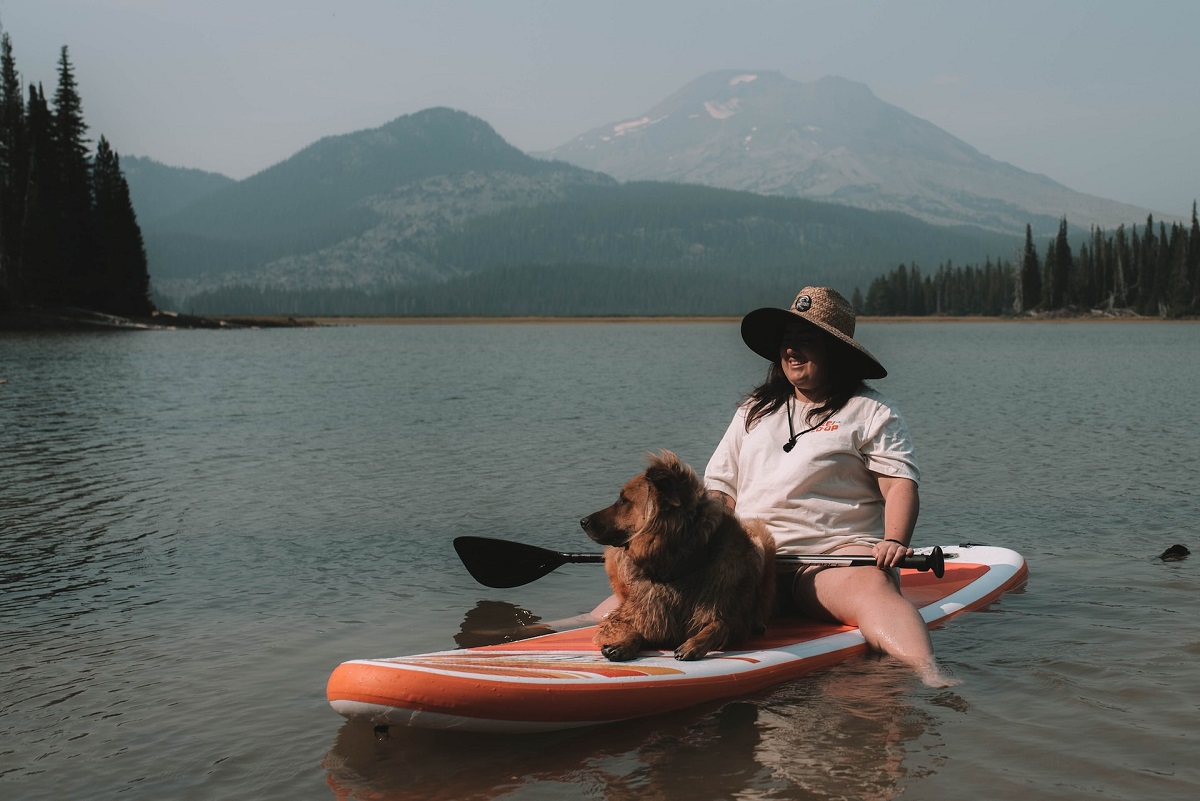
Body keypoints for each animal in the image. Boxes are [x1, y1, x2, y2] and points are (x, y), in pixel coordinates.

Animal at [580, 448, 777, 661]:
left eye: (624, 500)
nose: (583, 521)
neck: (679, 566)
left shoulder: (734, 619)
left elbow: (720, 625)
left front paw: (694, 644)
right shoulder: (624, 618)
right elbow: (632, 630)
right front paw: (622, 645)